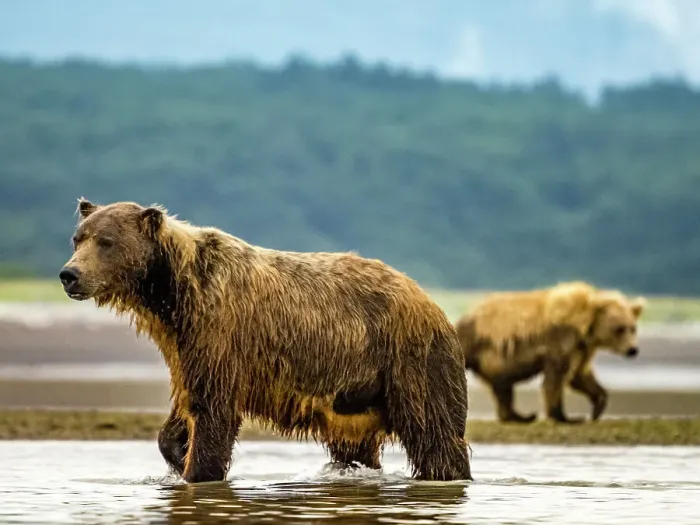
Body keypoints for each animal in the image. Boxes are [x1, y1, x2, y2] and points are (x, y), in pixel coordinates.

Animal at [59, 199, 472, 483]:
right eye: (78, 238)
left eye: (106, 241)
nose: (69, 274)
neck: (169, 295)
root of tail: (430, 301)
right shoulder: (182, 345)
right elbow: (185, 406)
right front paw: (177, 451)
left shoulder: (219, 330)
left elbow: (213, 409)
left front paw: (198, 472)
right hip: (357, 395)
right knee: (354, 445)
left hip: (411, 360)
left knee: (434, 432)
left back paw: (447, 472)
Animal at [454, 281, 645, 424]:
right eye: (619, 329)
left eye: (633, 328)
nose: (633, 350)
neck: (584, 328)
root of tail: (465, 315)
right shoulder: (559, 340)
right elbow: (557, 377)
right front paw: (564, 416)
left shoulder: (582, 348)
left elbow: (579, 375)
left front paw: (597, 406)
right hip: (473, 341)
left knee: (503, 386)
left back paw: (521, 416)